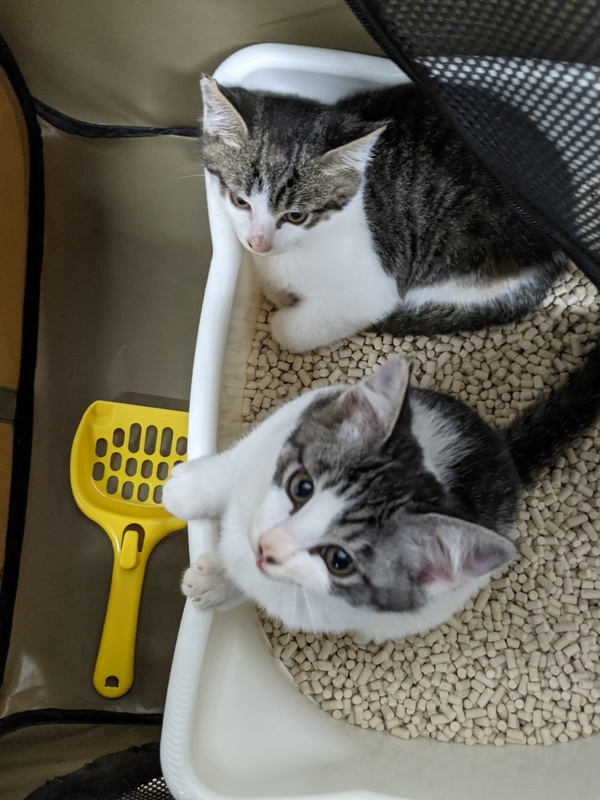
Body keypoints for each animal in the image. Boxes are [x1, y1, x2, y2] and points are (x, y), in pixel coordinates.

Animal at [162, 343, 600, 642]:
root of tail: (504, 457)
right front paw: (187, 489)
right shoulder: (287, 423)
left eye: (339, 560)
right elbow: (235, 467)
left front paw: (217, 584)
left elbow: (261, 582)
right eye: (301, 487)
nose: (267, 546)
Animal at [200, 76, 568, 353]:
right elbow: (274, 287)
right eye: (240, 201)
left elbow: (297, 328)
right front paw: (279, 291)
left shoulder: (370, 290)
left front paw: (283, 319)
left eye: (296, 216)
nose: (258, 243)